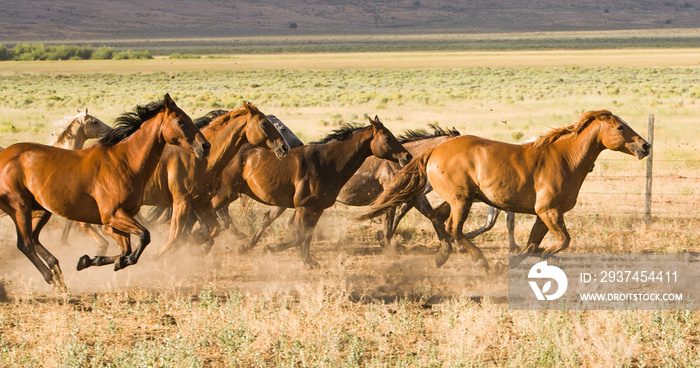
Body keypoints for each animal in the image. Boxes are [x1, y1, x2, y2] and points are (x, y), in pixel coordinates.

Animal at [0, 95, 209, 294]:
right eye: (180, 121)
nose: (205, 146)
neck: (124, 161)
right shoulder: (113, 215)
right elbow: (144, 237)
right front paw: (115, 262)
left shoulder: (120, 219)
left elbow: (126, 249)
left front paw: (89, 260)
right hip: (20, 208)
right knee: (25, 243)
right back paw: (52, 278)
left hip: (41, 210)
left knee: (34, 239)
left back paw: (57, 271)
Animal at [211, 116, 412, 266]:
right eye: (388, 138)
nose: (407, 156)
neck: (326, 163)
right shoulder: (304, 208)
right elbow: (300, 236)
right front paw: (272, 249)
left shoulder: (317, 209)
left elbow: (307, 236)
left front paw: (308, 260)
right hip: (226, 193)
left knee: (263, 218)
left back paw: (241, 246)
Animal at [360, 110, 652, 272]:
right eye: (620, 127)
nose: (645, 146)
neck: (566, 158)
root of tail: (433, 150)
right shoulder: (549, 211)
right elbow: (560, 242)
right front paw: (519, 260)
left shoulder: (544, 215)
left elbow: (533, 243)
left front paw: (509, 263)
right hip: (462, 200)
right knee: (454, 227)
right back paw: (481, 261)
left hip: (458, 199)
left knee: (437, 218)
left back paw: (442, 256)